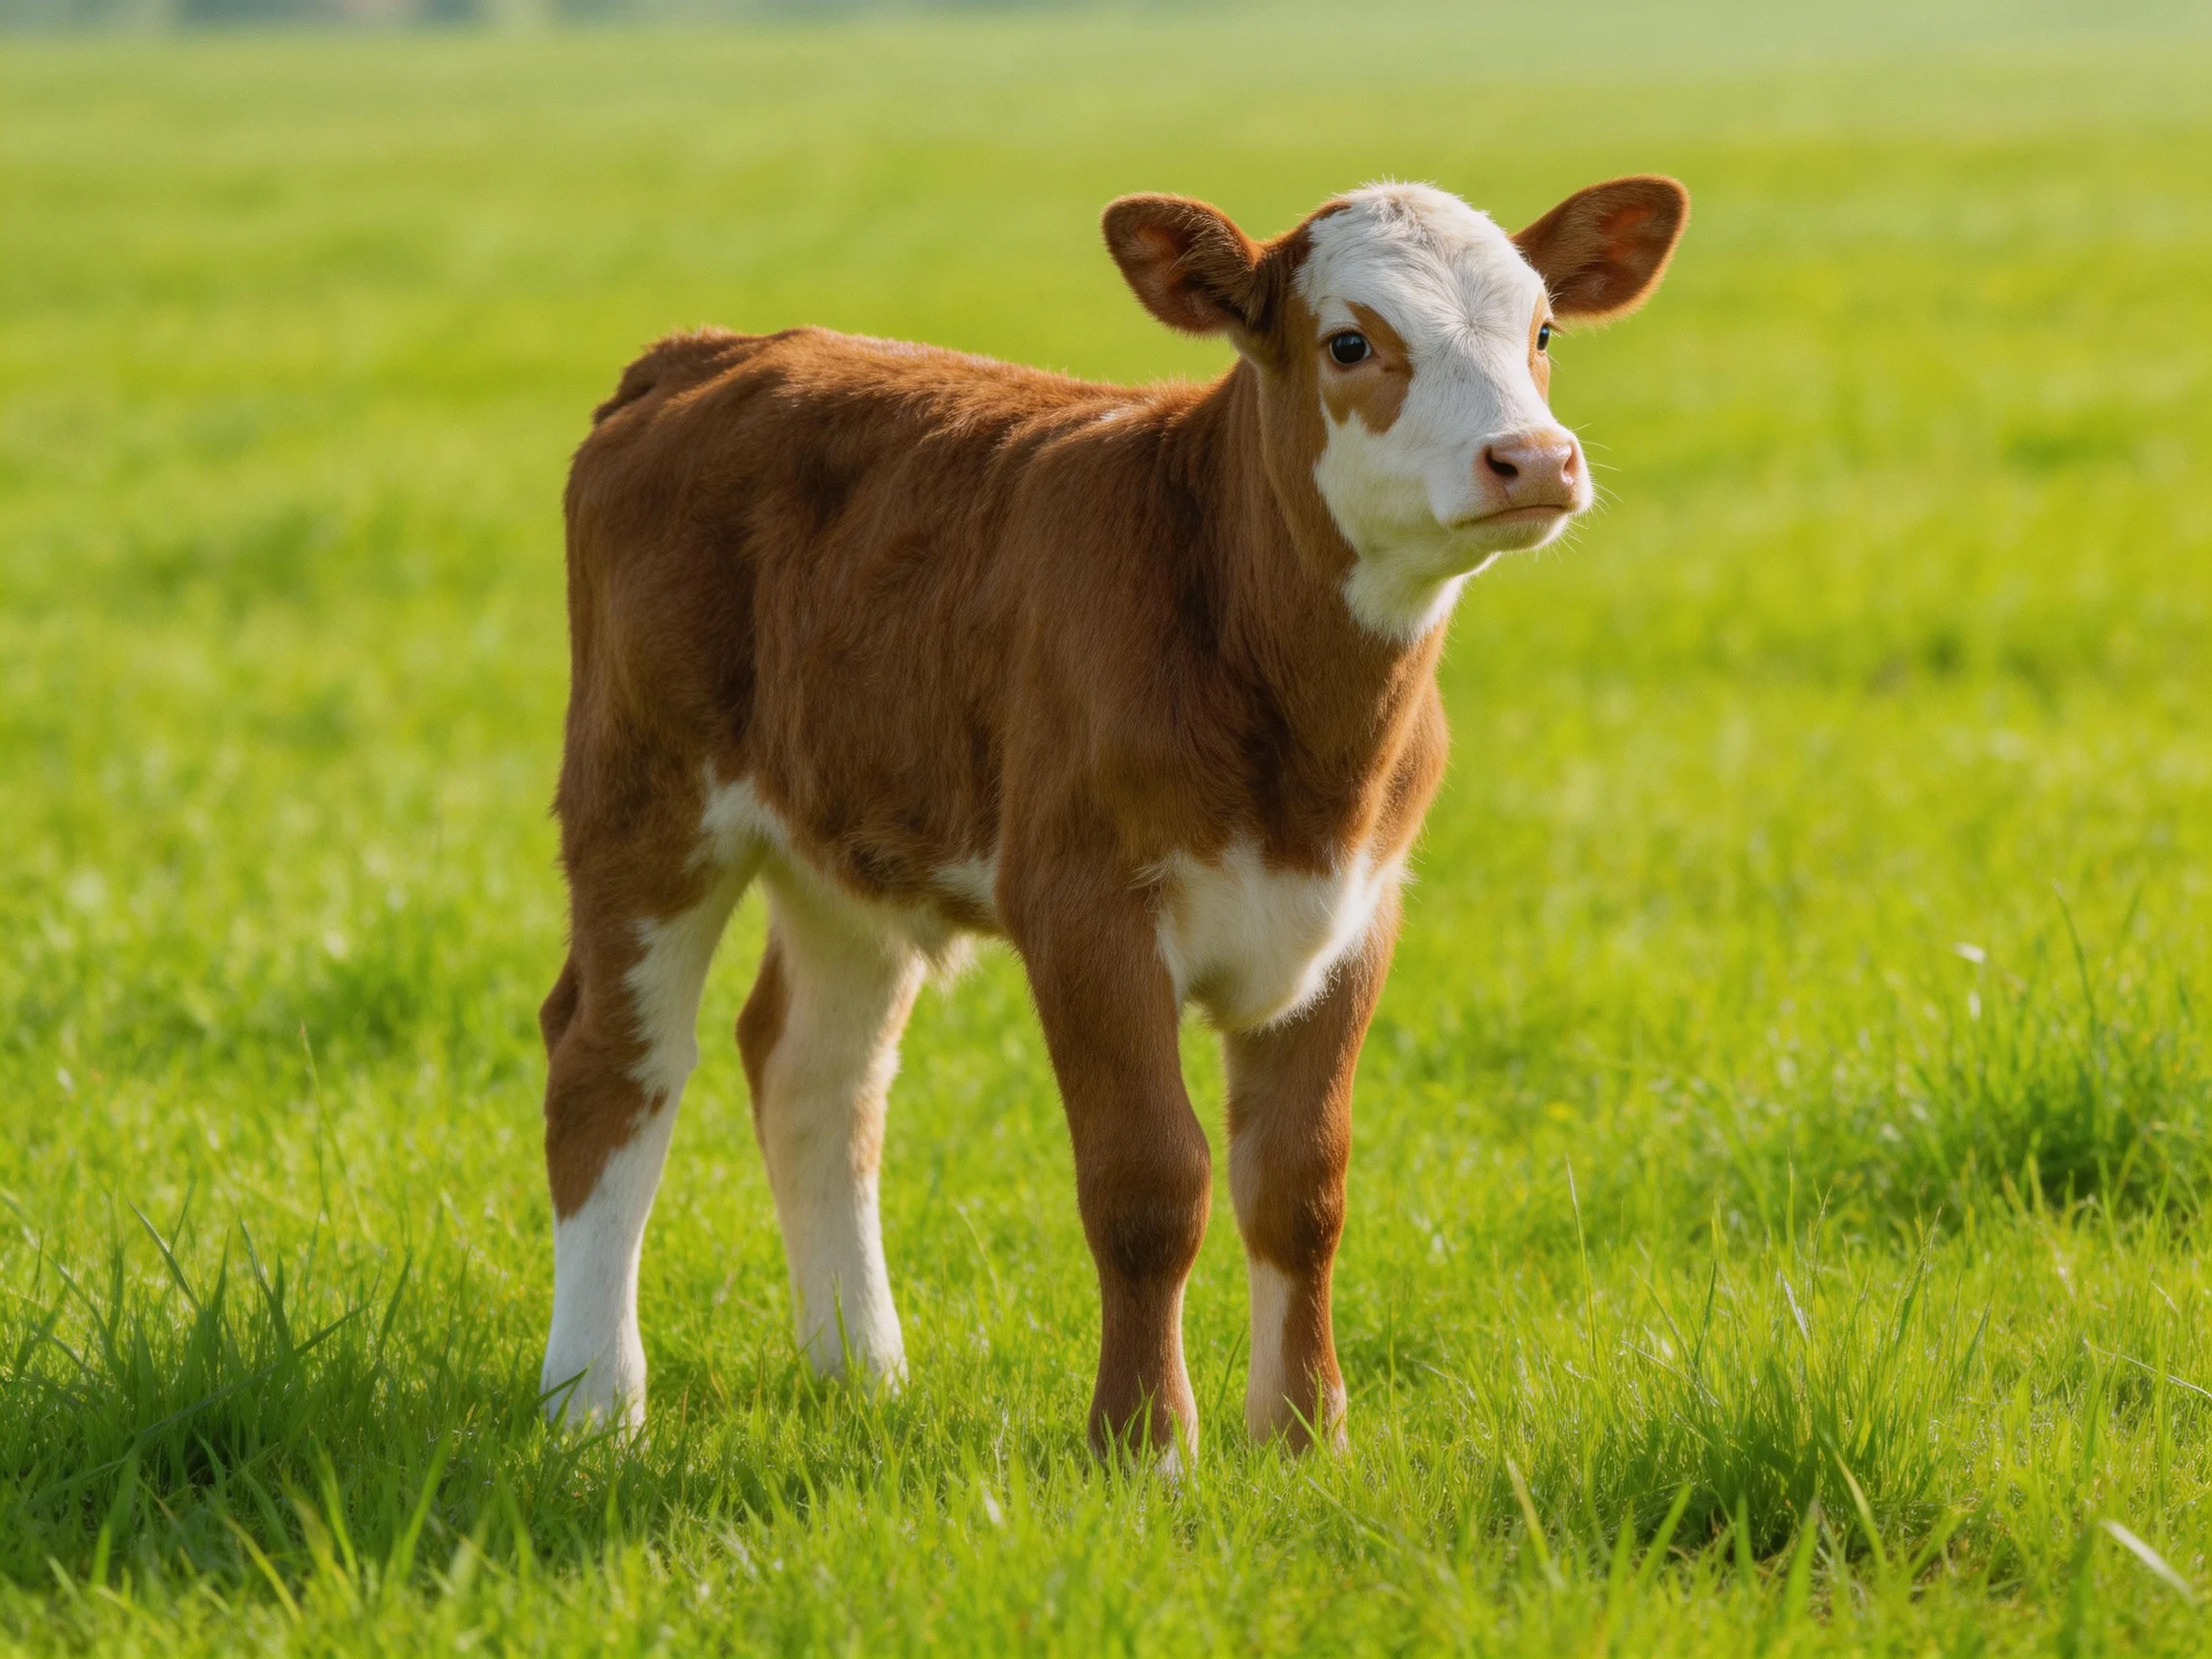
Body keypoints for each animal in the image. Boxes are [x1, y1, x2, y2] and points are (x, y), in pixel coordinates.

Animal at [538, 175, 1688, 1461]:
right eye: (1351, 342)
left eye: (1542, 332)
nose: (1533, 458)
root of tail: (709, 351)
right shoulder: (1083, 906)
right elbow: (1149, 1182)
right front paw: (1144, 1445)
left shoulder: (1358, 910)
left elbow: (1302, 1184)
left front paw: (1305, 1437)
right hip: (646, 791)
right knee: (610, 1063)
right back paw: (593, 1404)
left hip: (845, 836)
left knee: (812, 1071)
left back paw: (863, 1374)